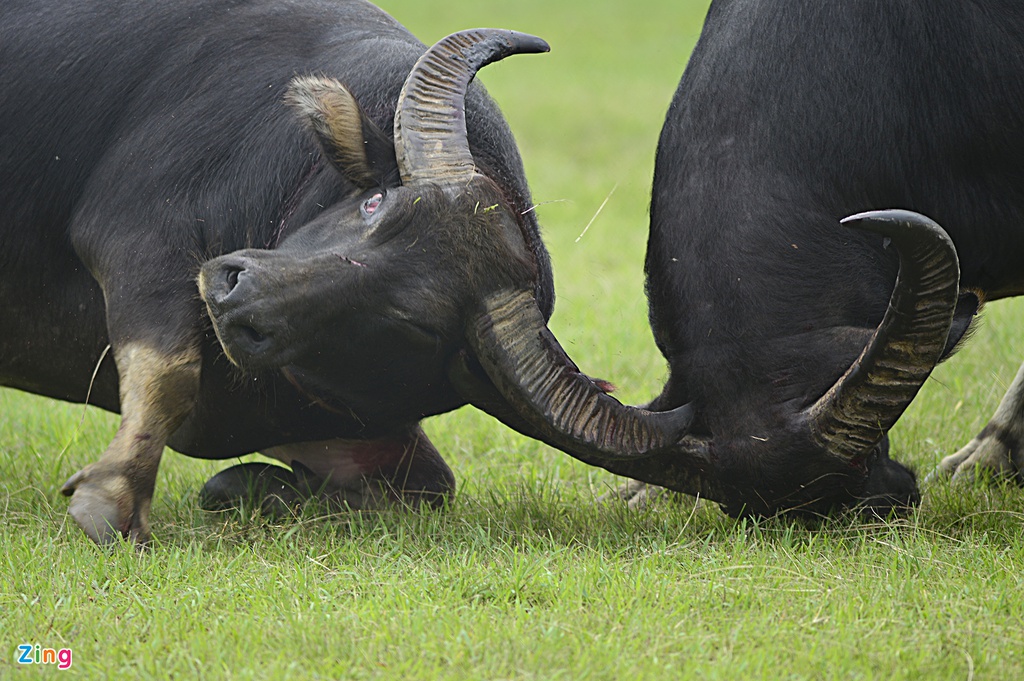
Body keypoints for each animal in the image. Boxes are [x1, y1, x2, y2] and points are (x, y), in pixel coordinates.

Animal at [4, 0, 688, 544]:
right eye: (375, 203)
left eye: (413, 324)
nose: (236, 297)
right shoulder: (140, 244)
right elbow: (172, 372)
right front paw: (113, 500)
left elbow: (431, 485)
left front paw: (250, 488)